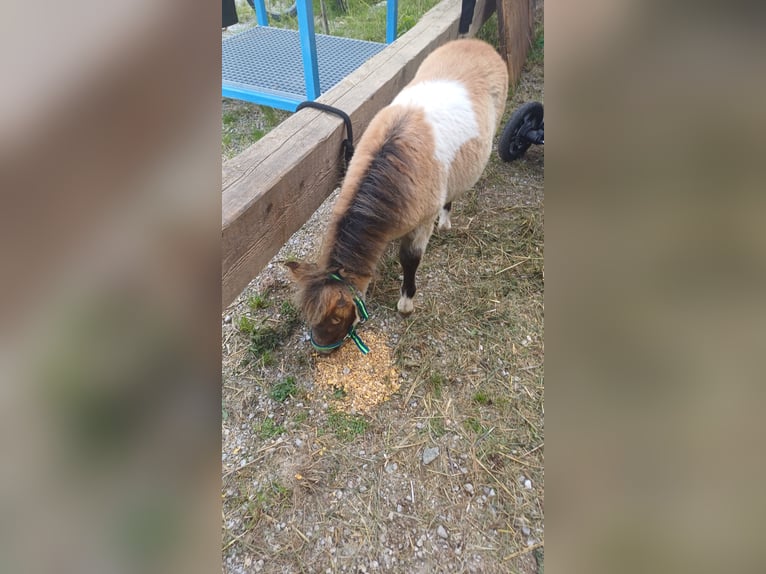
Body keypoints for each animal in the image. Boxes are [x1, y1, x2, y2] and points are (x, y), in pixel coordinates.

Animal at [288, 38, 510, 354]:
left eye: (336, 317)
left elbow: (410, 259)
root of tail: (476, 43)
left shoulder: (421, 222)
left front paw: (406, 303)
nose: (323, 348)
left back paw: (446, 223)